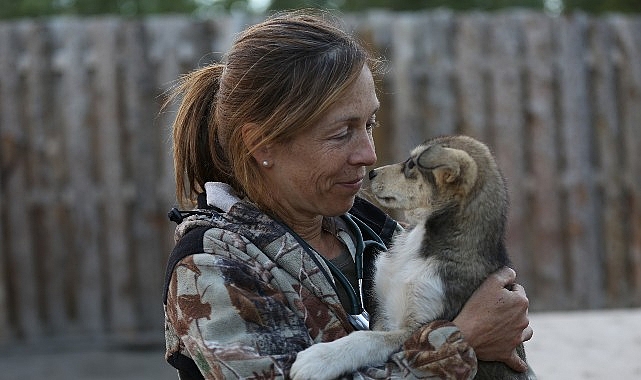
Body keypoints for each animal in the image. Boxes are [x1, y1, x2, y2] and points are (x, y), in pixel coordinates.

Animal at [290, 135, 528, 378]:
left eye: (412, 165)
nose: (371, 173)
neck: (418, 248)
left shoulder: (418, 327)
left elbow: (367, 338)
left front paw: (319, 359)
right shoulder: (381, 312)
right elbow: (371, 333)